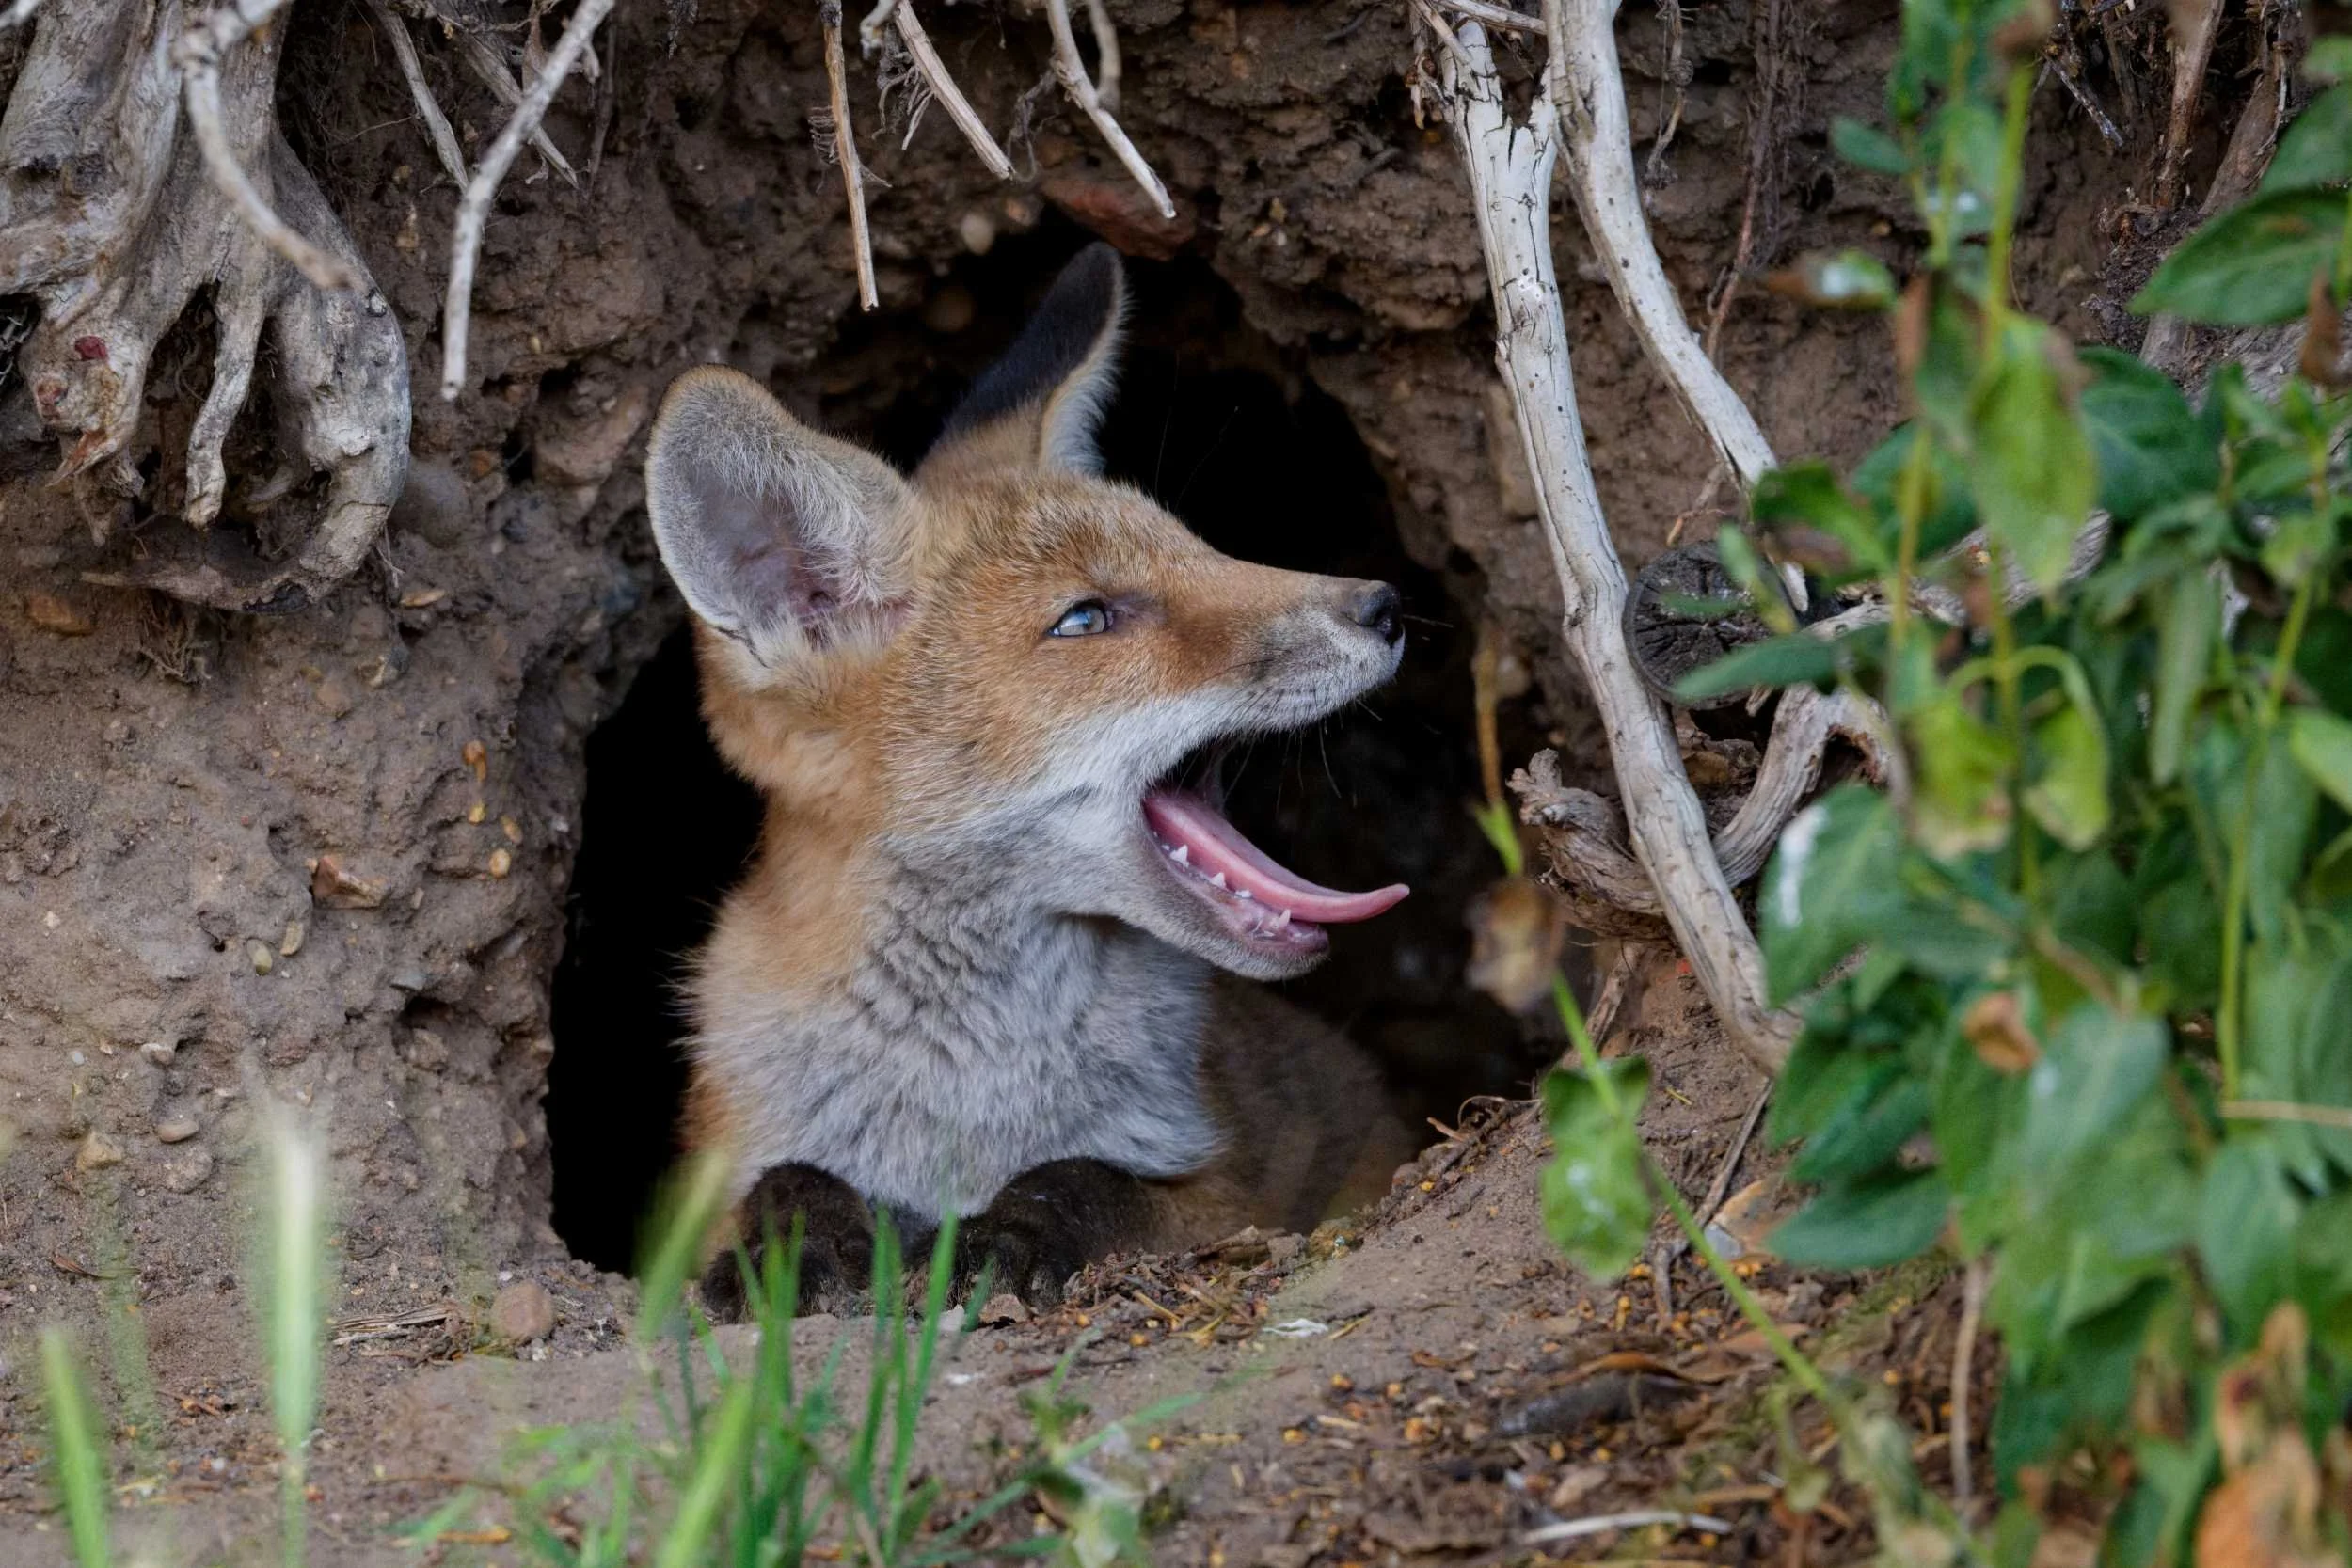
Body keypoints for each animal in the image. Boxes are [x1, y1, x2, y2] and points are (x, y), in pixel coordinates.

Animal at [642, 243, 1423, 1313]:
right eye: (1087, 619)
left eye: (1202, 550)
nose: (1386, 604)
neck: (973, 1087)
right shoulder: (696, 1197)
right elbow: (783, 1180)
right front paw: (799, 1240)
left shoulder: (1224, 1188)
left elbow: (1089, 1177)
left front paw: (1013, 1229)